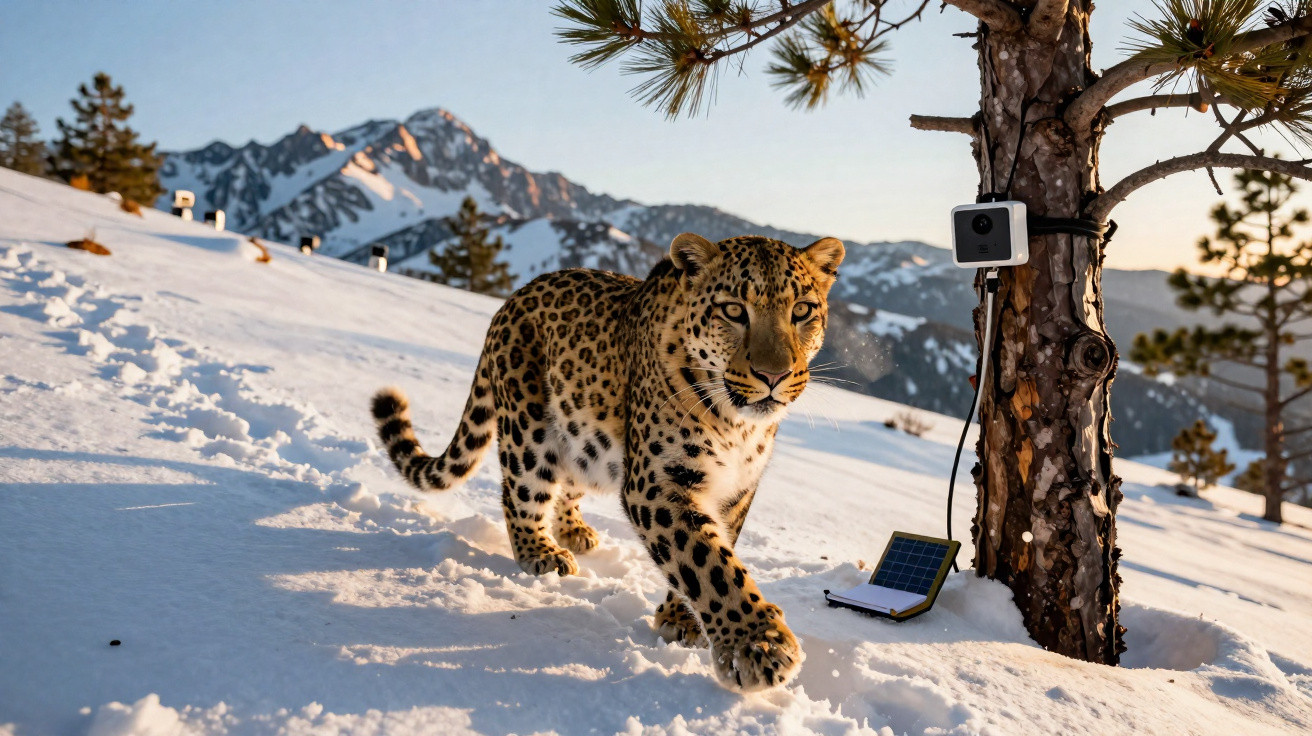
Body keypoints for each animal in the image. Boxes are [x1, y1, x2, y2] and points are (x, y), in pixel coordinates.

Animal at [371, 232, 844, 691]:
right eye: (733, 310)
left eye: (801, 310)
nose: (774, 375)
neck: (738, 426)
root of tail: (511, 298)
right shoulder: (658, 482)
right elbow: (706, 562)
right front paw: (757, 647)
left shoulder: (735, 491)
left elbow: (712, 552)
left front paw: (682, 620)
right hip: (530, 430)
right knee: (520, 493)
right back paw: (542, 552)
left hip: (586, 441)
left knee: (567, 483)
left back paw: (575, 531)